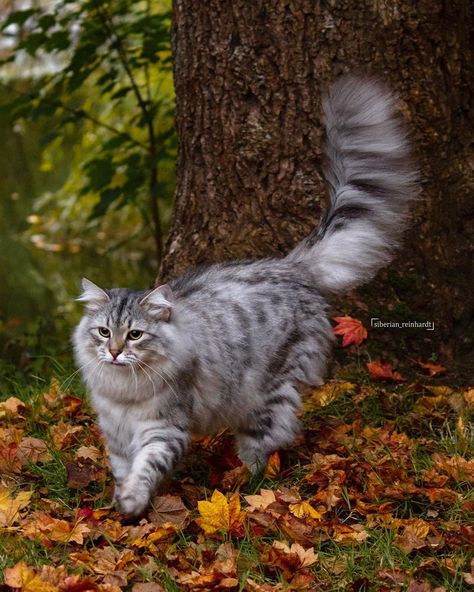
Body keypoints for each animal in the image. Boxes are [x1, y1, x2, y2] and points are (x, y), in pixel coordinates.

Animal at [72, 75, 416, 520]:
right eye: (103, 332)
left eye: (134, 335)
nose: (114, 352)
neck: (124, 390)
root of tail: (290, 266)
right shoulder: (115, 433)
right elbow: (121, 468)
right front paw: (123, 505)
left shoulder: (164, 429)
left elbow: (146, 467)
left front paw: (133, 501)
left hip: (268, 395)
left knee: (266, 444)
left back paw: (248, 487)